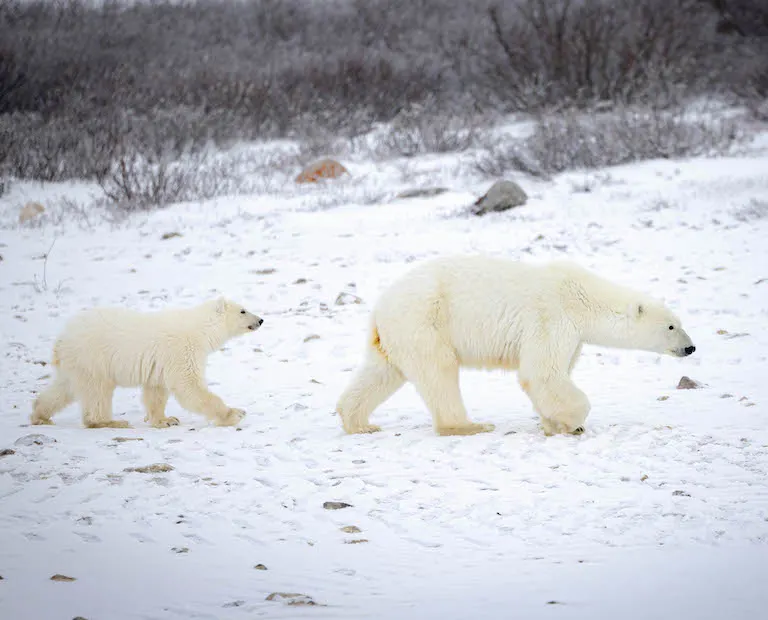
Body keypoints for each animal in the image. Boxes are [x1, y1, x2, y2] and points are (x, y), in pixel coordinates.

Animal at [31, 297, 263, 429]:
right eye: (243, 310)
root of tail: (61, 340)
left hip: (76, 363)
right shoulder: (182, 350)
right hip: (93, 358)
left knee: (64, 388)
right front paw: (234, 414)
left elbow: (156, 391)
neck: (200, 328)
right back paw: (110, 421)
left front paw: (166, 419)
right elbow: (189, 386)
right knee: (98, 392)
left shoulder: (160, 363)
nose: (260, 320)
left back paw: (40, 415)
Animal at [336, 256, 695, 436]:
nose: (690, 348)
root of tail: (379, 308)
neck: (581, 297)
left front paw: (552, 423)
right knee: (439, 372)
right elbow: (542, 373)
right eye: (671, 326)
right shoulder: (552, 318)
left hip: (396, 333)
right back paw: (470, 425)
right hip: (425, 321)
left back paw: (359, 422)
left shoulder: (574, 336)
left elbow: (554, 374)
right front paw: (574, 422)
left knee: (382, 372)